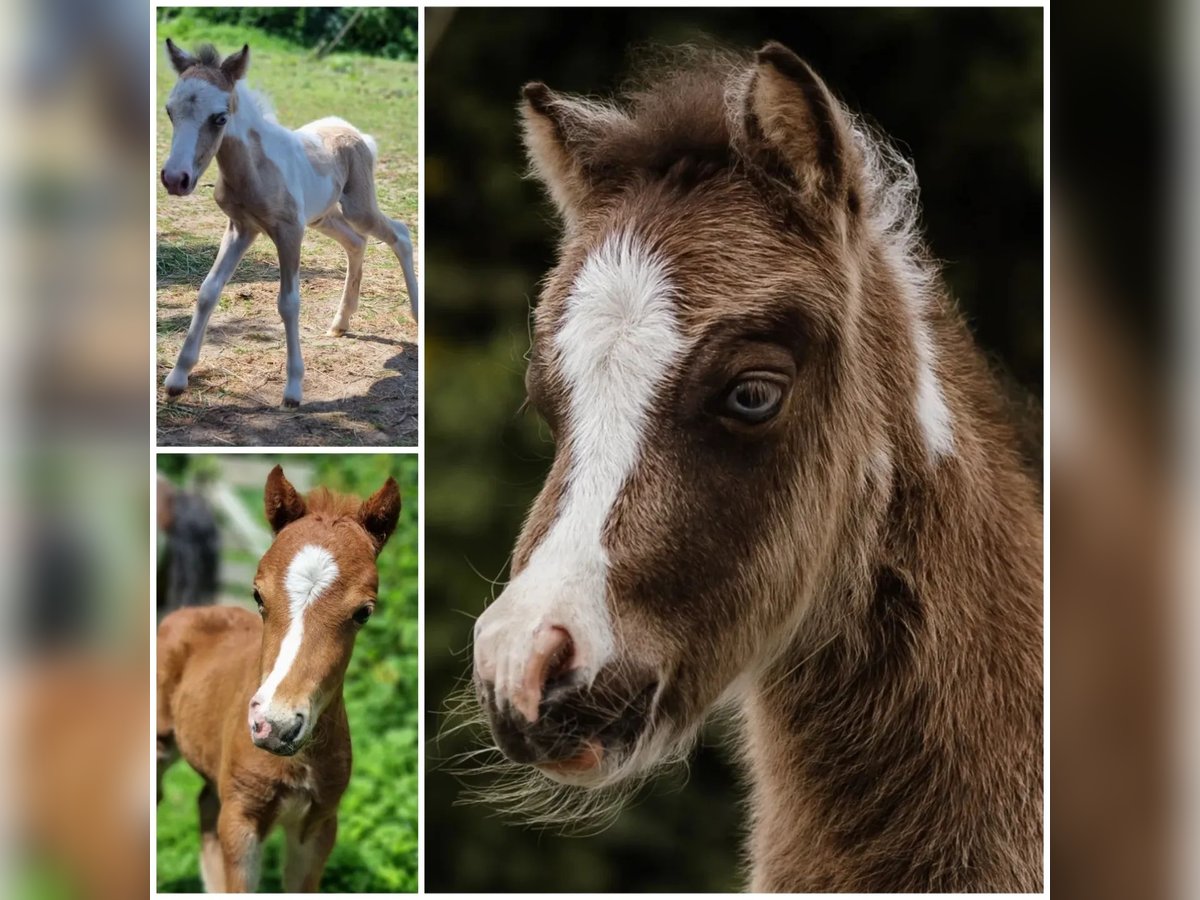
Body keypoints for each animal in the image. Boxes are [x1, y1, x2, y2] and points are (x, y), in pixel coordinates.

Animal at [158, 41, 422, 408]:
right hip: (324, 216)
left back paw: (416, 315)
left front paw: (294, 390)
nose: (175, 179)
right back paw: (341, 322)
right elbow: (208, 291)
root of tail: (357, 134)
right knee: (356, 243)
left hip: (358, 208)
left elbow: (289, 302)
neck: (252, 169)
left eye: (220, 117)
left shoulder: (289, 231)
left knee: (400, 234)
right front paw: (177, 377)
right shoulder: (241, 228)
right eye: (170, 111)